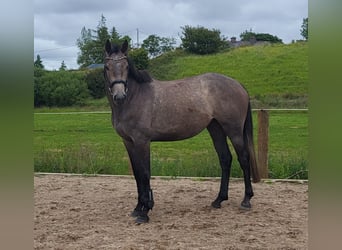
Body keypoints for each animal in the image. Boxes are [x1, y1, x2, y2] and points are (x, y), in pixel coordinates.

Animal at [103, 40, 260, 224]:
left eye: (127, 66)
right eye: (107, 66)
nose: (119, 96)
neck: (135, 97)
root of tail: (238, 84)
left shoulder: (142, 141)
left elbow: (145, 173)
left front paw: (145, 211)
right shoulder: (128, 142)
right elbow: (137, 174)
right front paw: (137, 208)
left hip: (233, 130)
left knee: (243, 158)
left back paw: (246, 200)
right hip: (216, 128)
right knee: (225, 159)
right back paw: (218, 200)